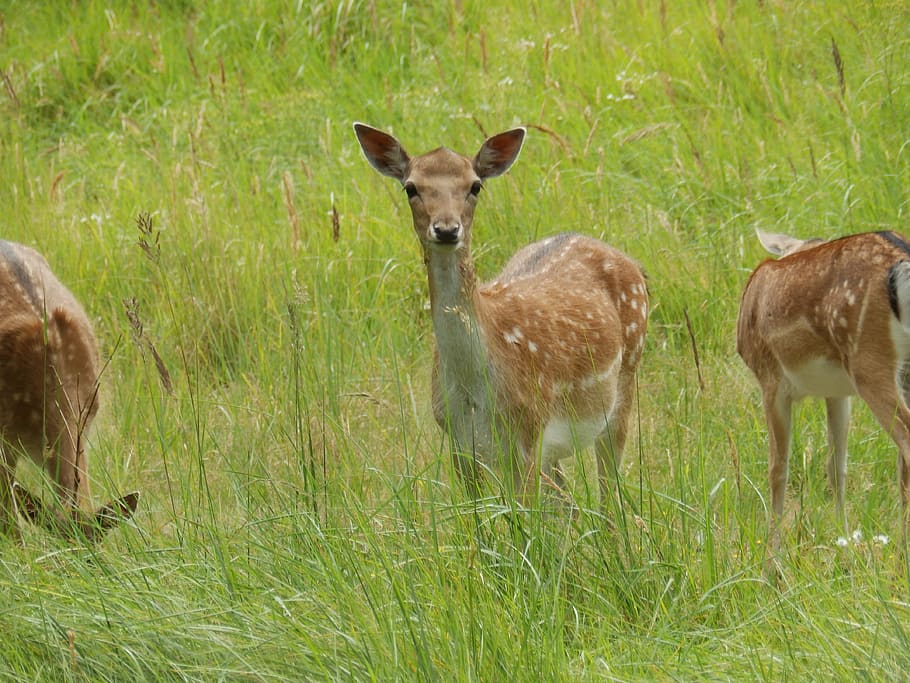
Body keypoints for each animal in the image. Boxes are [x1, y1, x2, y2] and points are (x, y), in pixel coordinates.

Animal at [353, 123, 648, 509]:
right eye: (411, 187)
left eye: (475, 185)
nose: (446, 229)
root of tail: (634, 265)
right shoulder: (458, 440)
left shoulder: (528, 431)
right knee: (569, 503)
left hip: (625, 380)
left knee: (609, 496)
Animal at [737, 228, 910, 556]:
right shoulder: (838, 391)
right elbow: (837, 467)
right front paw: (845, 544)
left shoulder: (771, 380)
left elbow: (777, 470)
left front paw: (771, 562)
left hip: (869, 361)